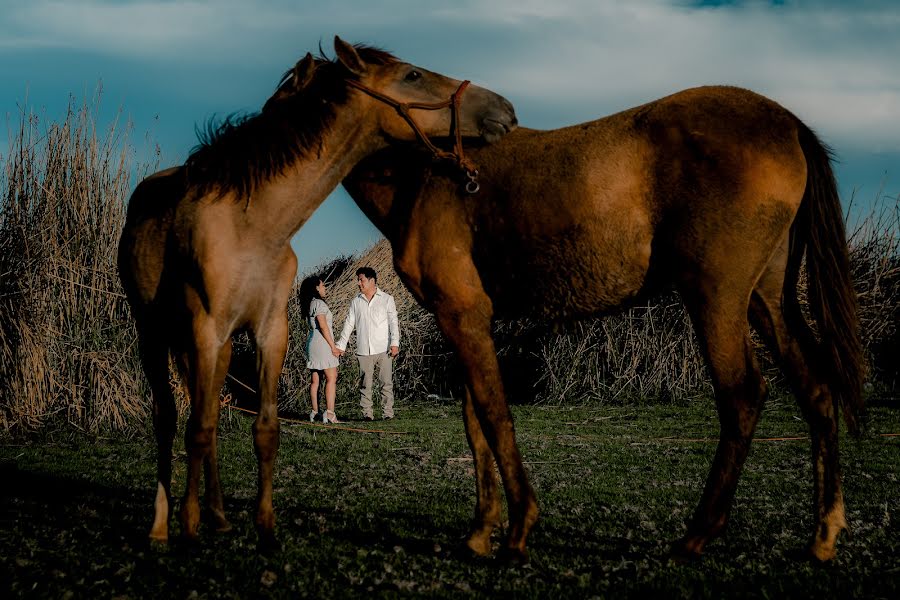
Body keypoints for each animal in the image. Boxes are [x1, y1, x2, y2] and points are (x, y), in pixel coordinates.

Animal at [116, 34, 516, 548]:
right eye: (412, 75)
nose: (504, 108)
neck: (254, 221)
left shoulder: (268, 331)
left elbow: (263, 429)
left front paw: (264, 529)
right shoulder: (207, 328)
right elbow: (197, 430)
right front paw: (189, 528)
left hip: (210, 349)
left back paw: (219, 516)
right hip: (155, 334)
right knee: (167, 420)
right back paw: (162, 526)